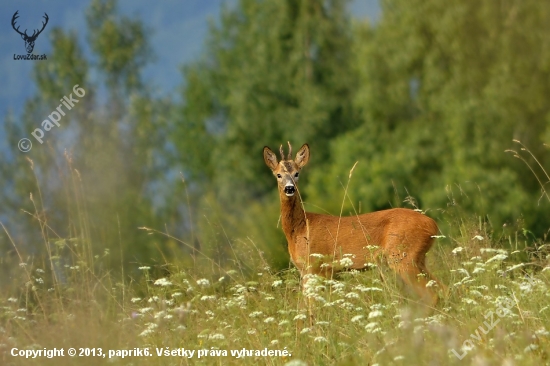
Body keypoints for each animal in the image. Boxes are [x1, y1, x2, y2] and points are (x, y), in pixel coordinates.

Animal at [266, 143, 446, 306]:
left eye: (297, 173)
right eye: (278, 175)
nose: (289, 188)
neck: (300, 228)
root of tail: (432, 224)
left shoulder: (317, 267)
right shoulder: (308, 271)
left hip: (403, 257)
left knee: (431, 294)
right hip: (418, 258)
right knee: (442, 287)